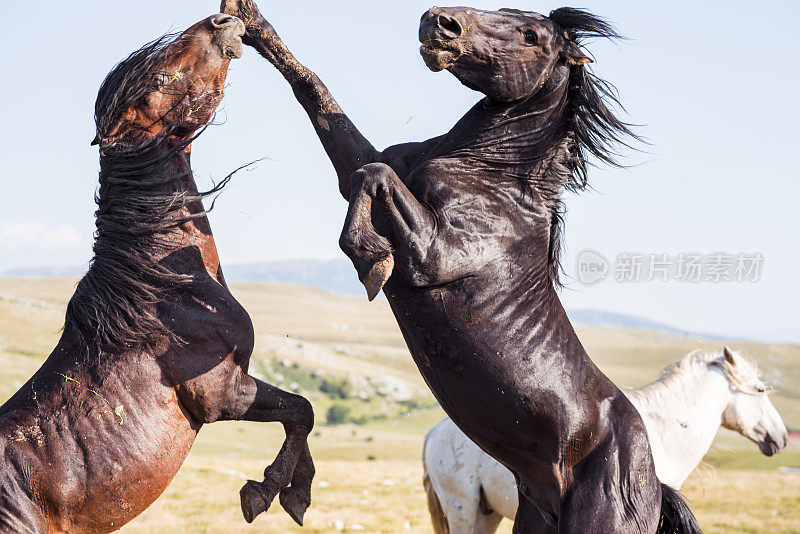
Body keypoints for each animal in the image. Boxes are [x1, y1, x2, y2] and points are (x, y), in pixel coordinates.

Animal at [0, 13, 312, 534]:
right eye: (160, 82)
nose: (223, 21)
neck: (163, 291)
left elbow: (301, 417)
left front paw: (297, 492)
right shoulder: (222, 395)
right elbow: (301, 412)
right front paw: (265, 490)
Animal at [223, 2, 700, 532]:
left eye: (532, 34)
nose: (439, 20)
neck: (492, 174)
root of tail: (654, 485)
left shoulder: (433, 253)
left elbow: (375, 176)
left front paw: (370, 257)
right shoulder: (367, 169)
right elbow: (322, 103)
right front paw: (249, 21)